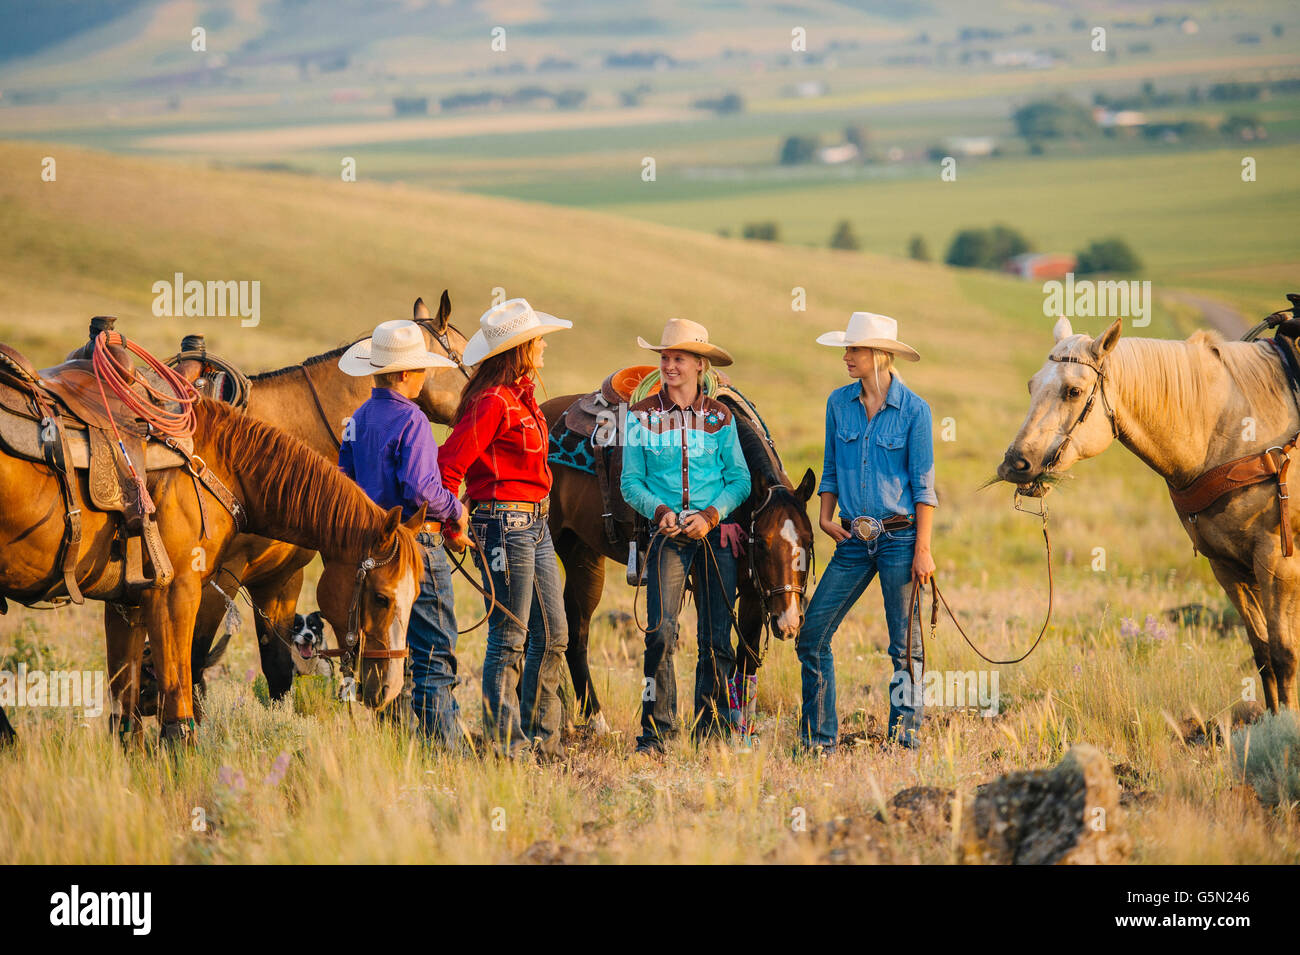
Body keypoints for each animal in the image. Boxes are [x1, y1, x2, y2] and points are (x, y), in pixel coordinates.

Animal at [0, 392, 423, 743]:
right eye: (382, 598)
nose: (389, 689)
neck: (219, 467)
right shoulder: (178, 593)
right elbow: (179, 710)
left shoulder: (128, 604)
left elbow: (126, 717)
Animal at [543, 389, 816, 732]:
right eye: (764, 545)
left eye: (808, 542)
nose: (789, 622)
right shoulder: (706, 579)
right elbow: (713, 644)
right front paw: (712, 722)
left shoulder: (755, 591)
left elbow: (747, 655)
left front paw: (740, 726)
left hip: (583, 554)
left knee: (576, 631)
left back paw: (595, 720)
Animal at [998, 317, 1300, 712]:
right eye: (1032, 385)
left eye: (1073, 391)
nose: (1014, 464)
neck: (1237, 427)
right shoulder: (1227, 567)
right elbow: (1263, 653)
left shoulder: (1278, 564)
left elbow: (1284, 655)